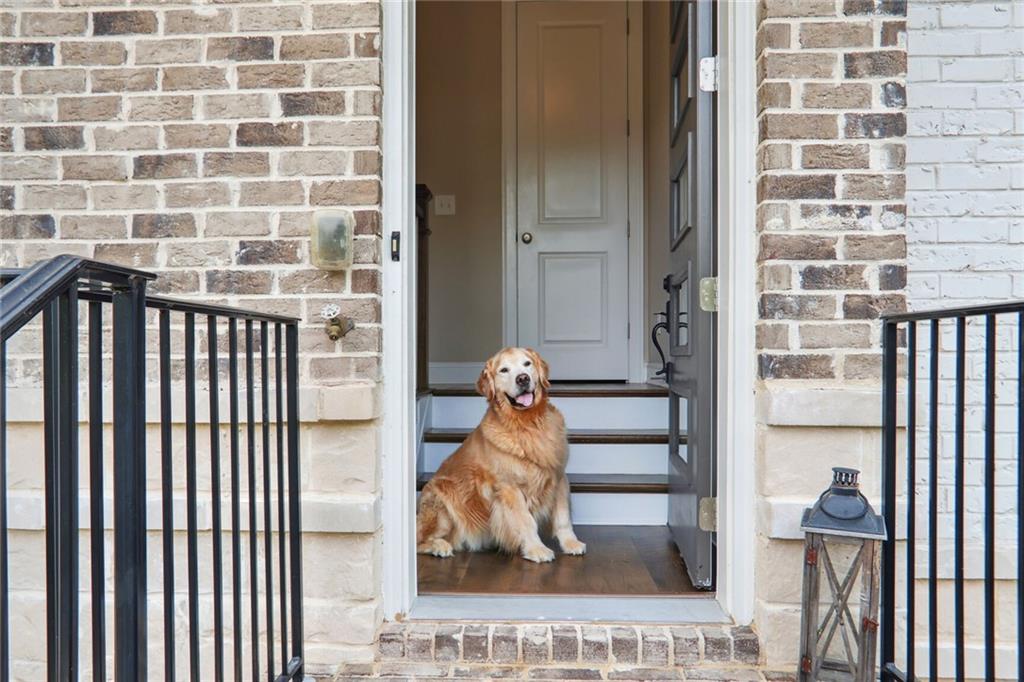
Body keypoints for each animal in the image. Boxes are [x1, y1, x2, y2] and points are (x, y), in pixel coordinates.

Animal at [417, 348, 585, 561]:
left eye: (527, 364)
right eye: (504, 370)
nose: (523, 379)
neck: (527, 424)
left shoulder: (559, 476)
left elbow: (563, 518)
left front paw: (571, 543)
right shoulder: (509, 488)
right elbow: (525, 520)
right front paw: (536, 549)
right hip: (444, 500)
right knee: (418, 538)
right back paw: (440, 546)